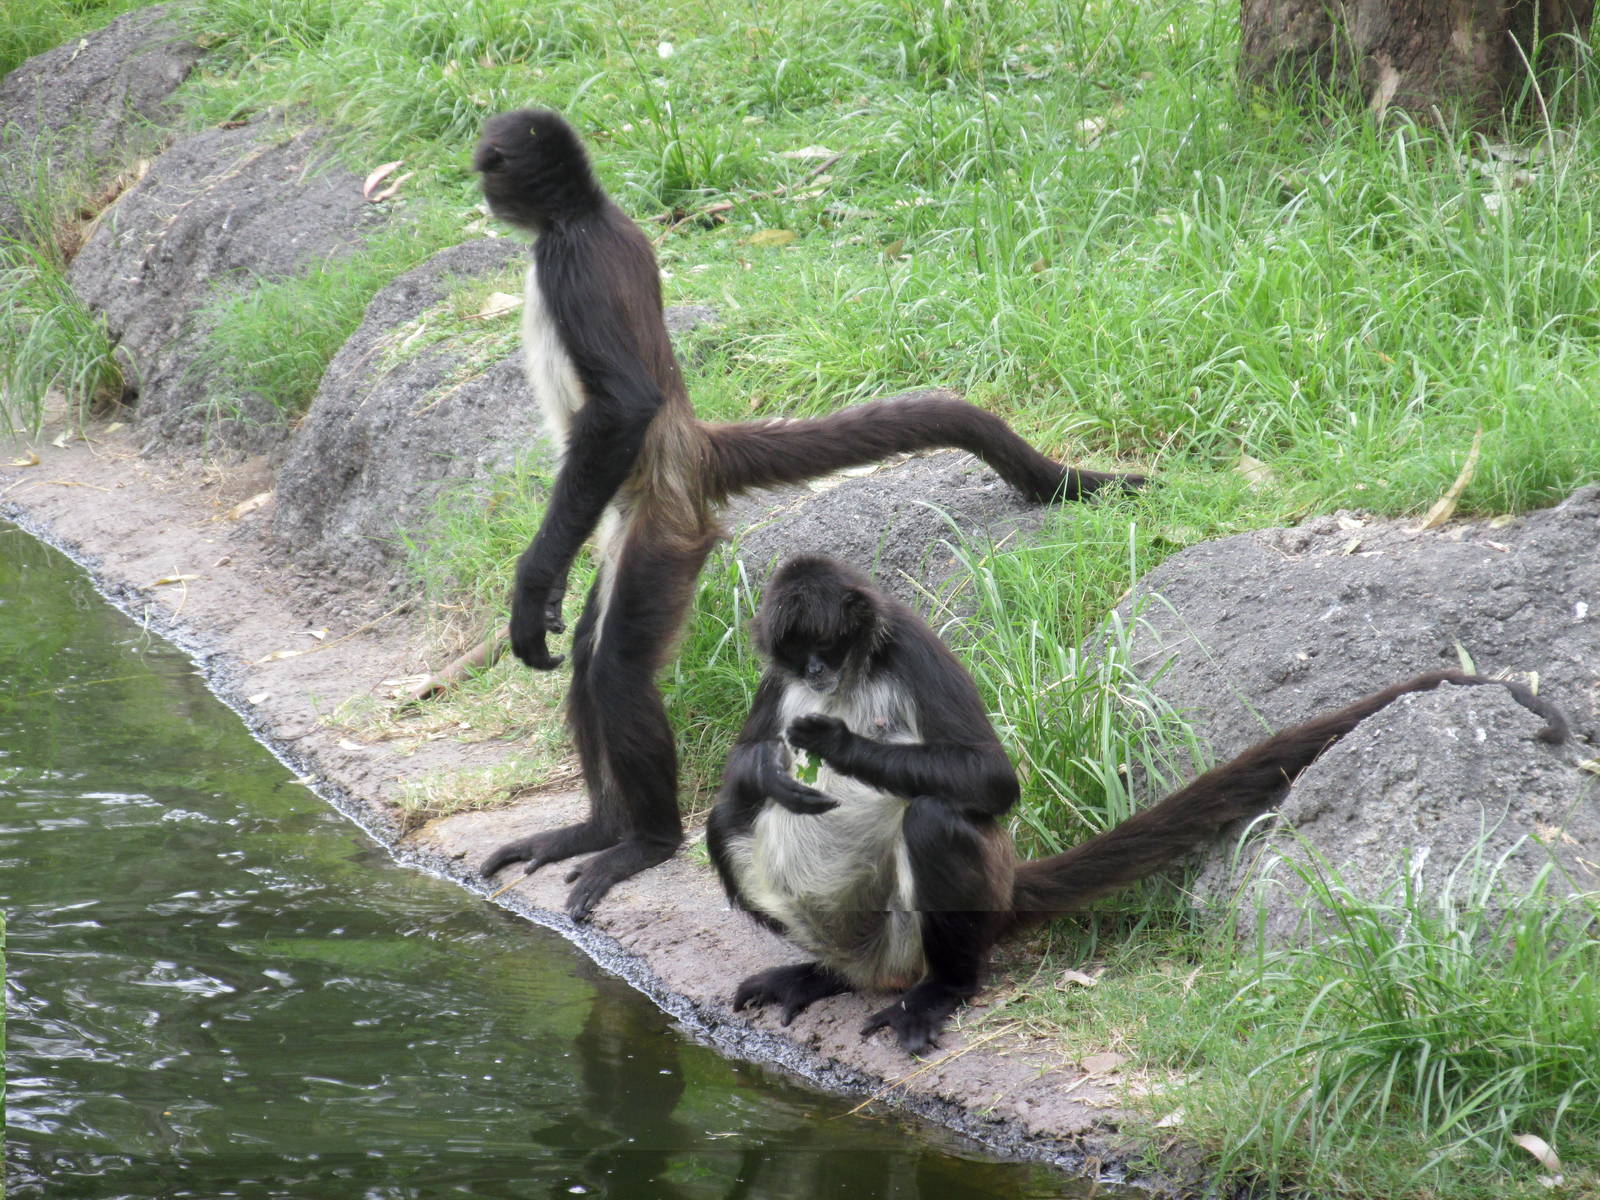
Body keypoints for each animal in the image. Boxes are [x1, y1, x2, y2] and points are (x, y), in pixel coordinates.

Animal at [471, 108, 1146, 920]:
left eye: (489, 164)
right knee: (589, 653)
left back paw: (644, 842)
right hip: (629, 522)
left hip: (665, 529)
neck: (585, 215)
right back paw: (598, 827)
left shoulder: (571, 262)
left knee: (616, 666)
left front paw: (536, 579)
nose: (478, 185)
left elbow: (624, 406)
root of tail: (692, 449)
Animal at [705, 555, 1569, 1054]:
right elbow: (741, 775)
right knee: (724, 824)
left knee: (937, 818)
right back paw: (822, 973)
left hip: (925, 926)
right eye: (797, 654)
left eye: (830, 646)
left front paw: (836, 743)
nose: (817, 673)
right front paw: (767, 765)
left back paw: (941, 989)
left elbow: (992, 783)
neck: (851, 676)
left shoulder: (909, 641)